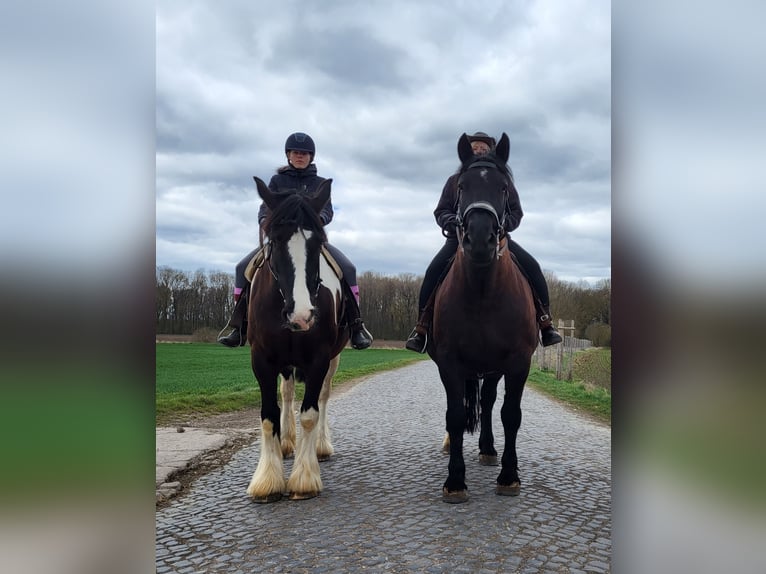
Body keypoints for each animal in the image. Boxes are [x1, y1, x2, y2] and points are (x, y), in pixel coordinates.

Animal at [245, 177, 349, 503]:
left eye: (318, 244)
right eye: (276, 241)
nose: (302, 315)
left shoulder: (319, 359)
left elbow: (310, 414)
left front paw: (304, 479)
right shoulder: (261, 360)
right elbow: (268, 415)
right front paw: (267, 480)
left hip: (333, 359)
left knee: (323, 397)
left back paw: (319, 447)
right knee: (287, 393)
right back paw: (287, 443)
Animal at [427, 133, 539, 503]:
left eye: (504, 188)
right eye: (461, 186)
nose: (479, 239)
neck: (482, 291)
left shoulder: (518, 362)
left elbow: (511, 415)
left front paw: (509, 476)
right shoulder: (450, 362)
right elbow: (456, 415)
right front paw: (455, 481)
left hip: (493, 368)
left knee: (489, 403)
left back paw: (489, 450)